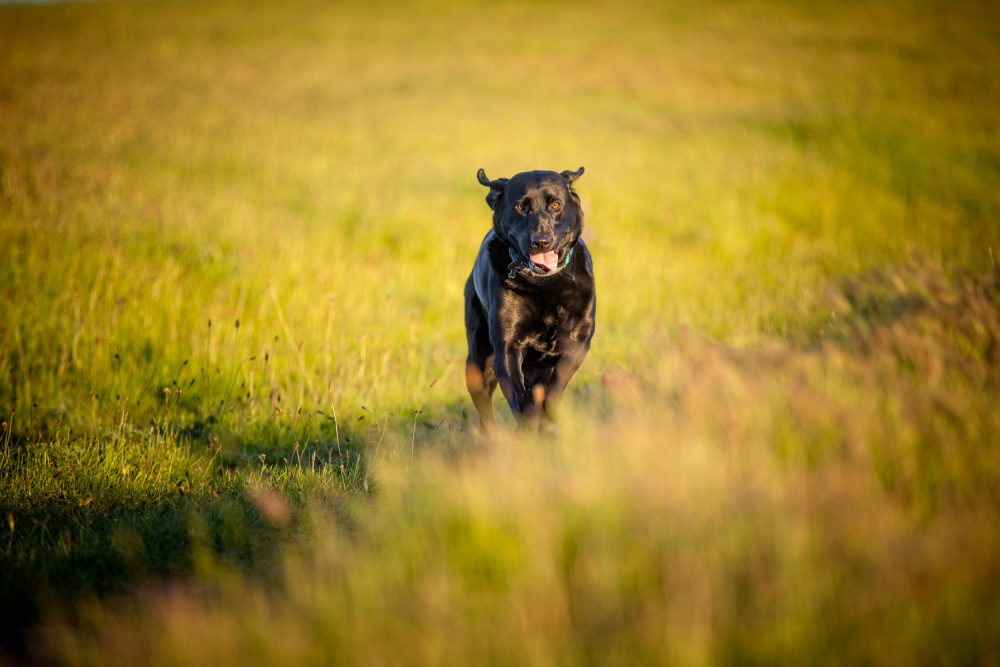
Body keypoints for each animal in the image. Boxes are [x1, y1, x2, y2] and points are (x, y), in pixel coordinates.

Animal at [466, 166, 596, 428]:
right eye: (520, 206)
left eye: (555, 204)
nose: (541, 242)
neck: (546, 284)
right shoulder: (508, 348)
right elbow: (521, 398)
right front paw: (530, 424)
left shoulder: (577, 343)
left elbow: (553, 390)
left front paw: (547, 419)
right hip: (477, 363)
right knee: (485, 412)